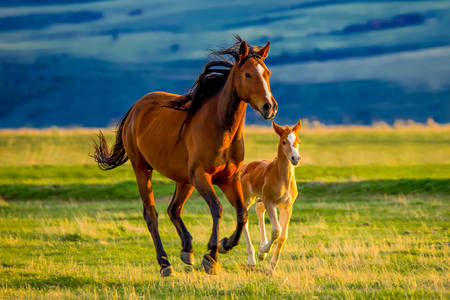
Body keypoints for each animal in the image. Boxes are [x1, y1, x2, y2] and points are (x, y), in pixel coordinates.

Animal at [92, 35, 278, 276]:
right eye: (248, 74)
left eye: (268, 74)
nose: (269, 107)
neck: (220, 128)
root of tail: (135, 108)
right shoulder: (202, 177)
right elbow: (217, 209)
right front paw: (211, 257)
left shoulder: (228, 179)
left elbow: (241, 214)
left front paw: (225, 244)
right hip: (143, 169)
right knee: (151, 215)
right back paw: (165, 263)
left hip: (184, 180)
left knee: (174, 209)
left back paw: (187, 250)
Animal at [241, 119, 300, 272]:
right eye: (284, 141)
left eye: (298, 140)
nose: (296, 158)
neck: (282, 178)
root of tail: (245, 167)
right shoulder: (270, 201)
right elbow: (276, 230)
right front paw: (262, 252)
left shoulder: (287, 206)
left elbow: (283, 236)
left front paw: (272, 266)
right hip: (248, 198)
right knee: (244, 219)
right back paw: (252, 259)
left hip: (260, 199)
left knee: (259, 209)